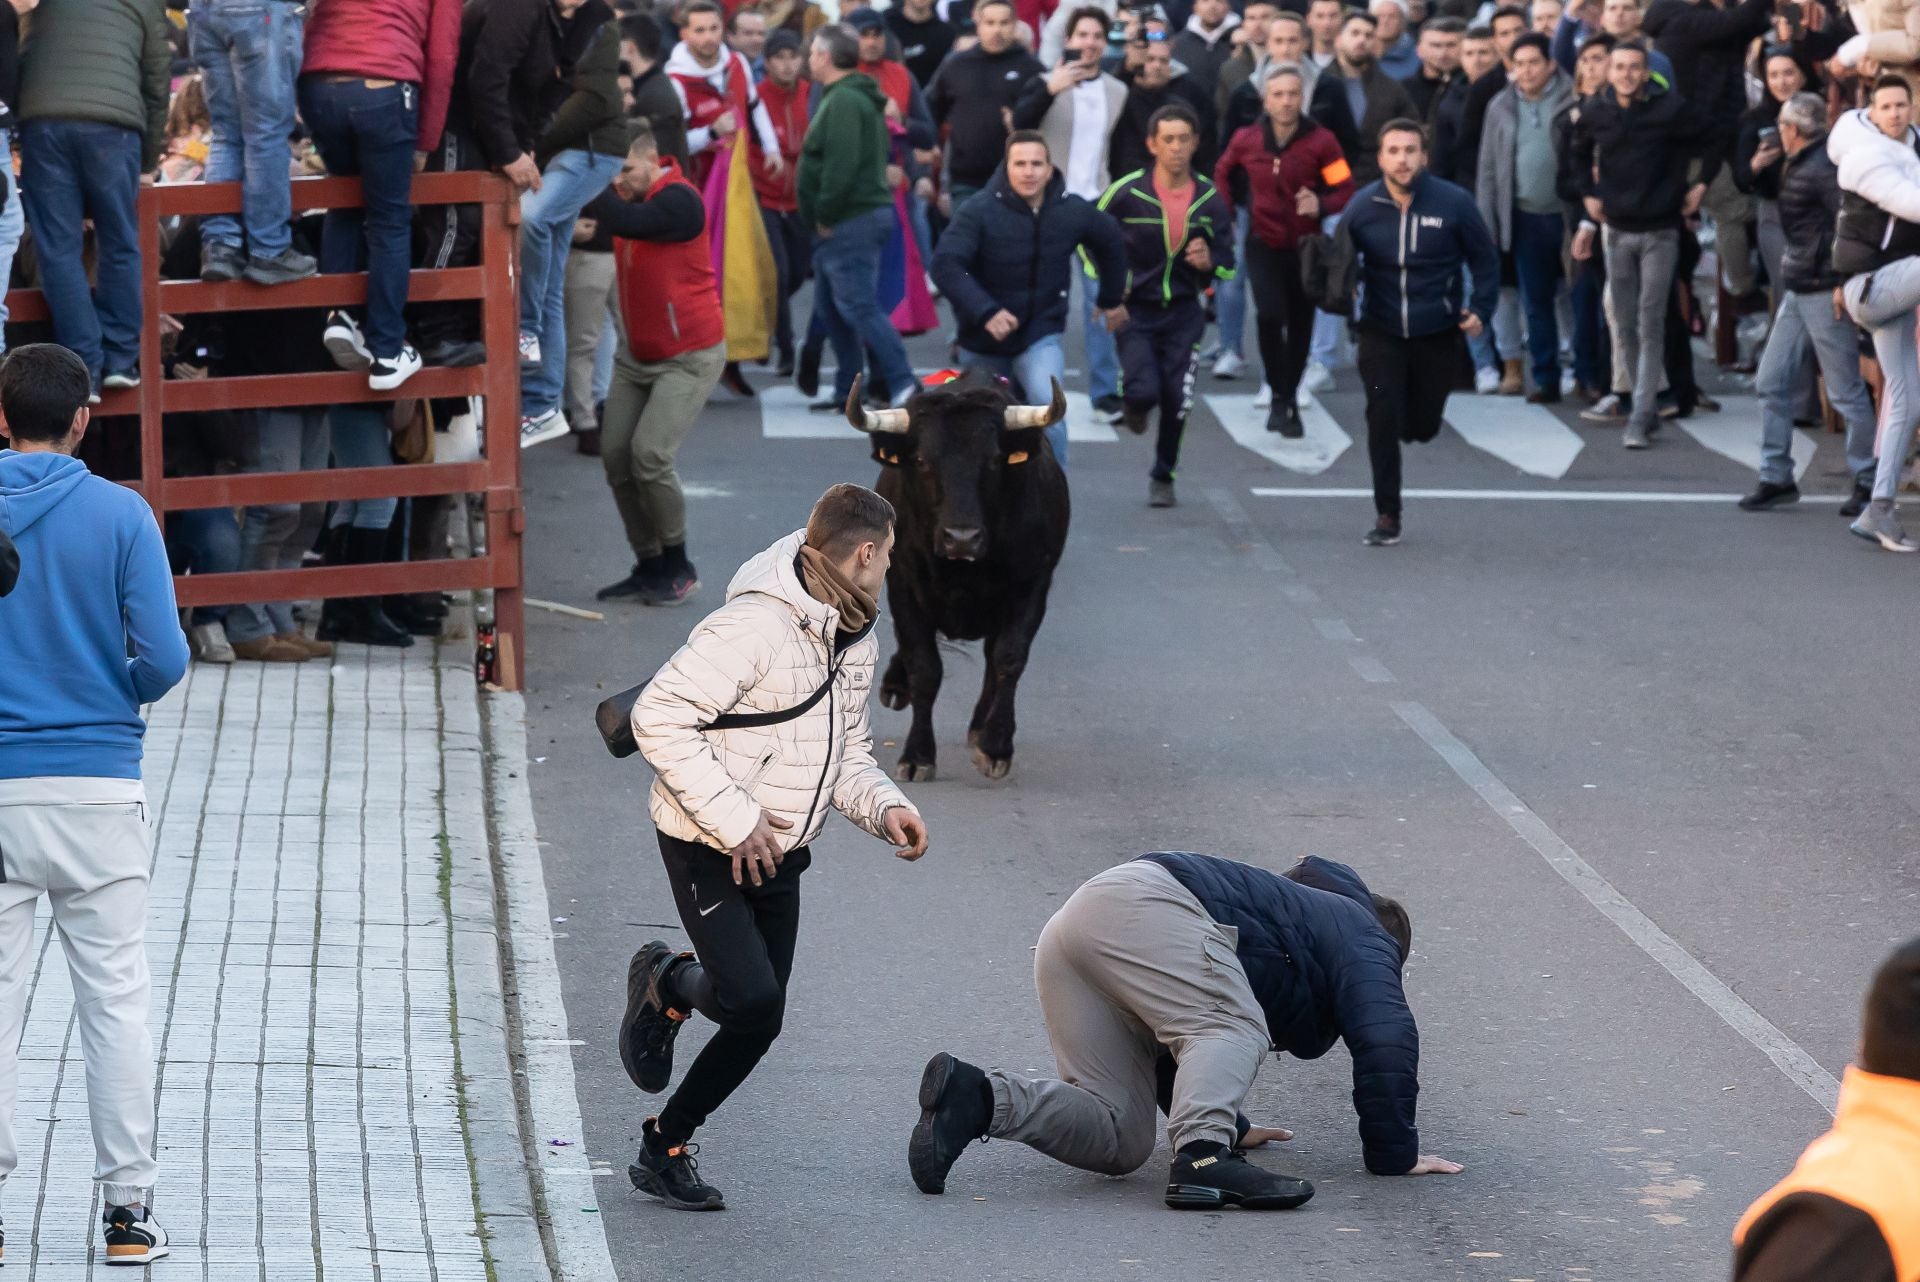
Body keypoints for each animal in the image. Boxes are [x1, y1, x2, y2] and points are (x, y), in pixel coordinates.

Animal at [848, 364, 1075, 775]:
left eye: (995, 459)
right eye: (922, 460)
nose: (962, 538)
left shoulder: (1032, 585)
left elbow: (1008, 658)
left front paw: (996, 744)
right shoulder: (904, 585)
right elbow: (924, 666)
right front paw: (918, 754)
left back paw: (979, 729)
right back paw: (895, 686)